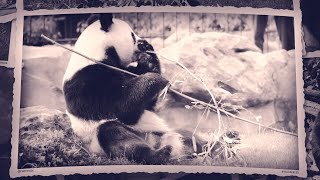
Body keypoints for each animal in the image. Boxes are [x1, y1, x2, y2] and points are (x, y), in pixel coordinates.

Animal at [62, 12, 198, 165]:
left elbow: (147, 103)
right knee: (117, 136)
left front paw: (149, 60)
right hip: (99, 140)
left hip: (167, 133)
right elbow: (121, 107)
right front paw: (156, 78)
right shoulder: (85, 80)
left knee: (190, 138)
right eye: (132, 35)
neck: (94, 53)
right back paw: (160, 154)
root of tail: (156, 141)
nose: (143, 42)